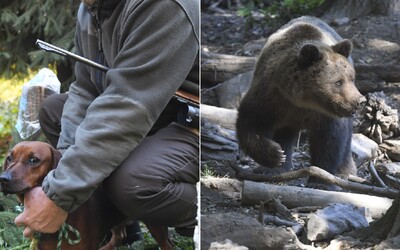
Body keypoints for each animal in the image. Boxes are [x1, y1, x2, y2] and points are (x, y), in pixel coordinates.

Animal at [238, 16, 366, 180]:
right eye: (338, 81)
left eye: (352, 78)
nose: (360, 101)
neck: (302, 100)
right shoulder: (270, 98)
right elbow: (251, 123)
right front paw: (276, 155)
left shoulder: (325, 115)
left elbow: (329, 141)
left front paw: (320, 178)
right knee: (284, 134)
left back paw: (346, 171)